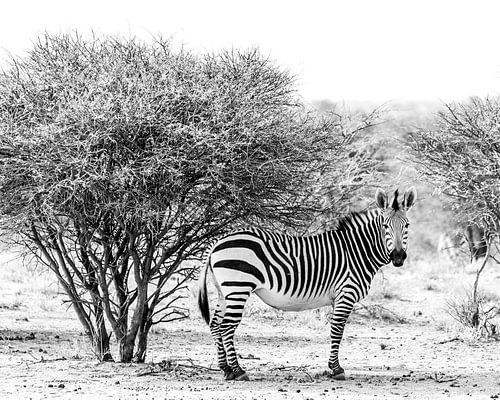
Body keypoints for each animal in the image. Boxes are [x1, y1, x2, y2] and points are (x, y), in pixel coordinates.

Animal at [197, 188, 416, 382]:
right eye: (385, 226)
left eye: (407, 226)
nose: (398, 257)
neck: (356, 251)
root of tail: (217, 242)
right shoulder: (346, 293)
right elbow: (337, 329)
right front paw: (336, 369)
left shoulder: (337, 297)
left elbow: (335, 330)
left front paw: (333, 367)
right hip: (238, 287)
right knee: (226, 327)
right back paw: (238, 371)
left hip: (224, 291)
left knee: (215, 325)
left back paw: (226, 369)